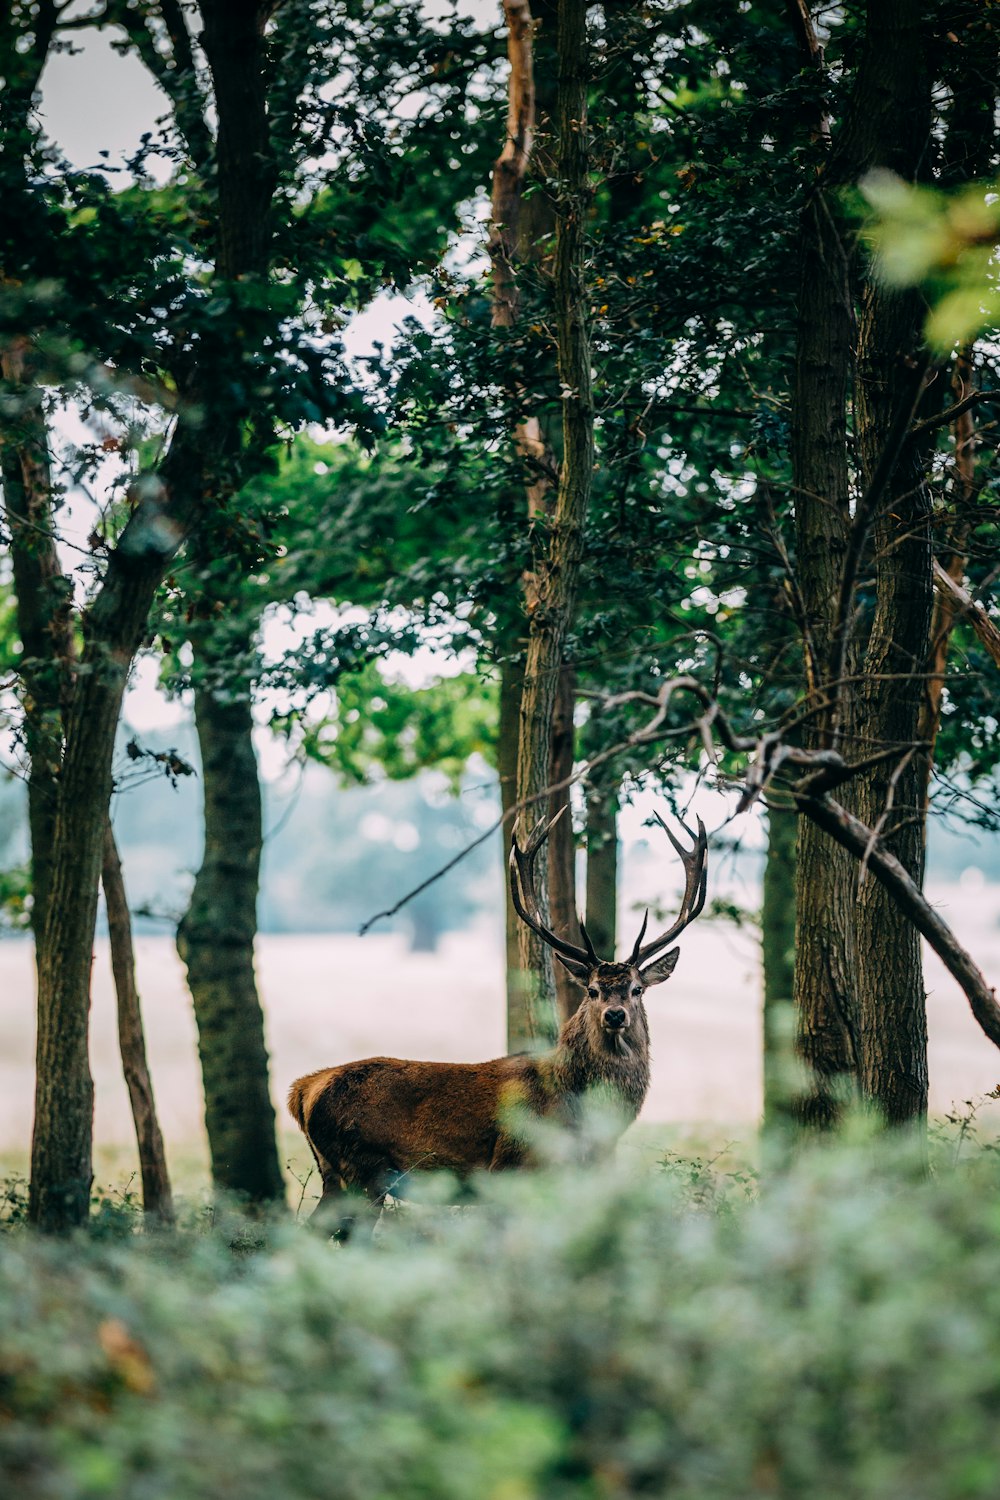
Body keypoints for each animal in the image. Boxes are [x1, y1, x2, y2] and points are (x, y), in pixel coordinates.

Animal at [284, 816, 707, 1236]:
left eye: (637, 989)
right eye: (592, 990)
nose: (615, 1015)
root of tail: (301, 1091)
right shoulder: (512, 1168)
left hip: (333, 1170)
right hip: (362, 1167)